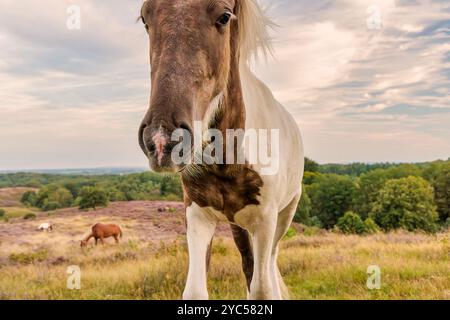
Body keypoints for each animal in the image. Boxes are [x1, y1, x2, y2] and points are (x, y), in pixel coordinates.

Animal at [137, 0, 304, 300]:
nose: (162, 140)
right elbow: (195, 290)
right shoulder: (197, 214)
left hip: (284, 216)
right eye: (145, 18)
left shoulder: (265, 220)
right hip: (238, 225)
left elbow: (263, 288)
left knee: (270, 264)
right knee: (249, 264)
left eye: (225, 16)